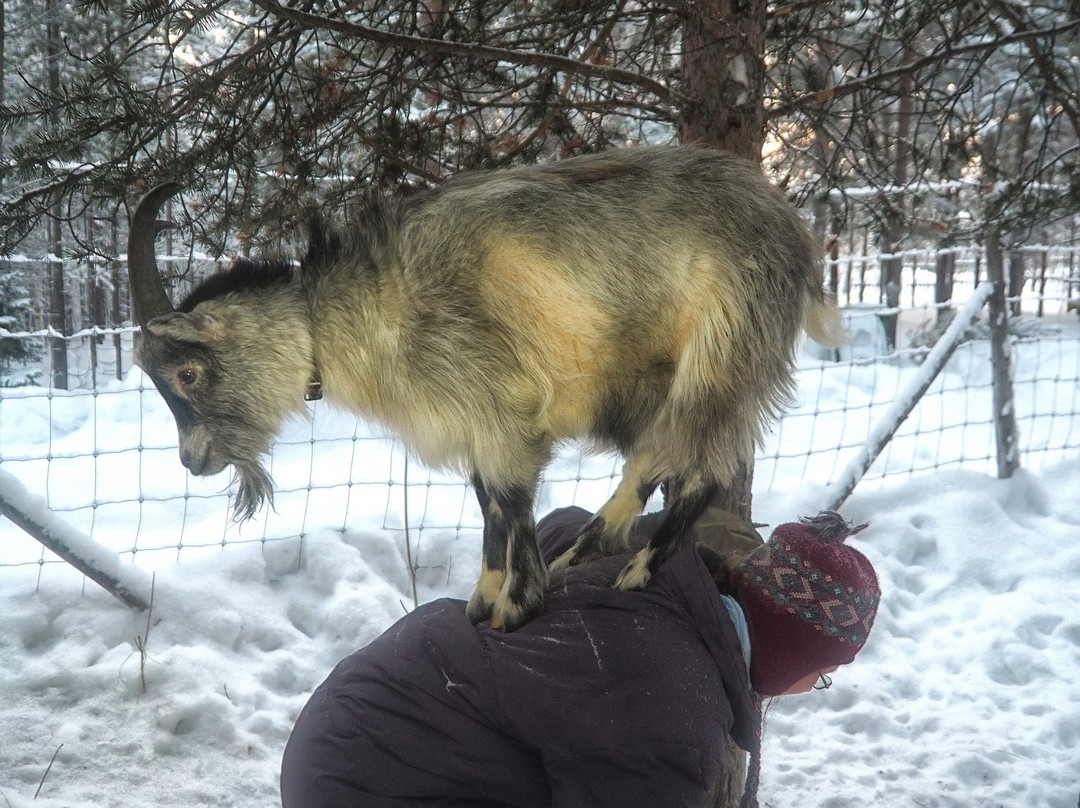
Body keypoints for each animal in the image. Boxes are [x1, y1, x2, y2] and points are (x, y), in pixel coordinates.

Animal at [126, 147, 842, 635]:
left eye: (186, 374)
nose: (194, 461)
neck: (349, 317)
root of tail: (794, 233)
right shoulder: (472, 425)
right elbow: (487, 506)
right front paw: (484, 596)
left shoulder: (501, 412)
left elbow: (510, 500)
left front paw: (515, 608)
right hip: (662, 379)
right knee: (658, 455)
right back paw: (590, 544)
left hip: (721, 356)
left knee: (706, 464)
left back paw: (637, 569)